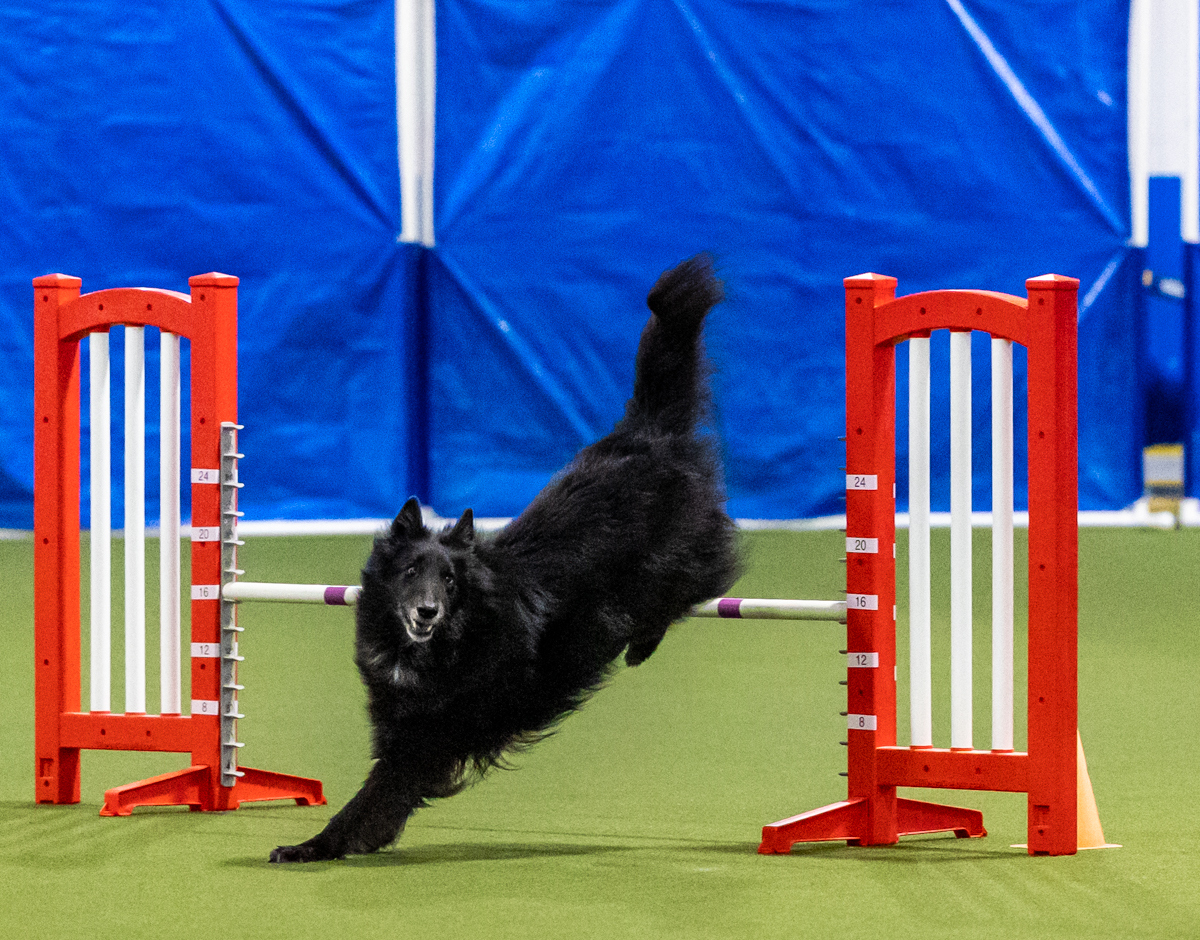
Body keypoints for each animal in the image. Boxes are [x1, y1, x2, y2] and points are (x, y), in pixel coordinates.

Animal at [269, 254, 741, 863]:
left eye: (449, 581)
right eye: (412, 572)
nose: (426, 611)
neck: (448, 642)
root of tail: (646, 434)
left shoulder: (432, 734)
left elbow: (372, 795)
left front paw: (317, 845)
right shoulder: (401, 725)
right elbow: (381, 796)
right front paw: (360, 839)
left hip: (670, 563)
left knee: (698, 581)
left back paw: (642, 642)